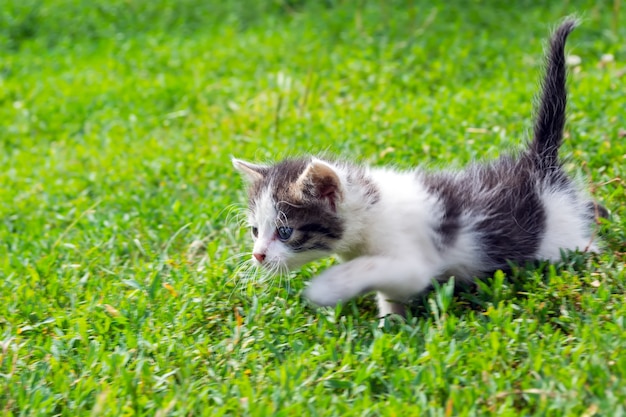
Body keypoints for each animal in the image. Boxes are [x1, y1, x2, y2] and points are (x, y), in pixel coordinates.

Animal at [230, 19, 604, 316]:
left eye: (285, 231)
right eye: (255, 230)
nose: (258, 255)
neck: (370, 211)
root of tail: (538, 163)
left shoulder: (413, 262)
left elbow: (381, 272)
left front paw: (326, 288)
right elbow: (387, 290)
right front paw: (391, 320)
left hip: (559, 236)